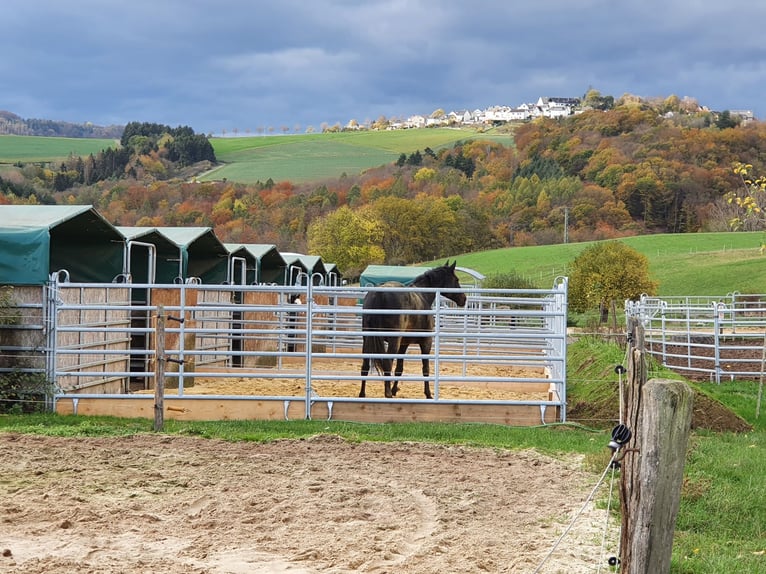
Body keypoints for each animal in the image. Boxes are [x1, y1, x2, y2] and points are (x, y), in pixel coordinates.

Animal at [362, 262, 468, 400]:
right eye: (456, 280)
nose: (464, 299)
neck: (423, 296)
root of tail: (379, 293)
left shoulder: (404, 344)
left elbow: (399, 368)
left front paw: (395, 389)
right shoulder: (426, 343)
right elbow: (425, 369)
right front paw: (428, 394)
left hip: (367, 338)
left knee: (365, 365)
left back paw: (362, 394)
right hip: (393, 341)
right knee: (387, 363)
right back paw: (387, 394)